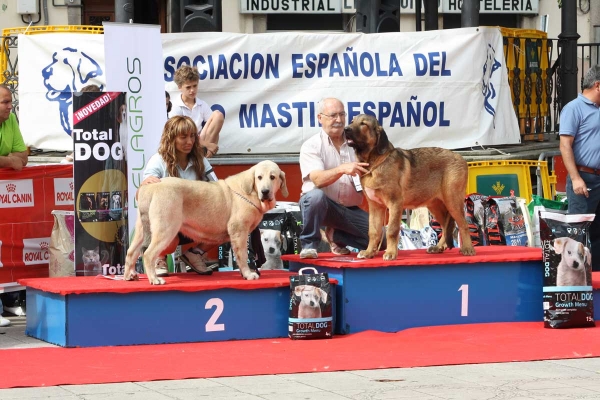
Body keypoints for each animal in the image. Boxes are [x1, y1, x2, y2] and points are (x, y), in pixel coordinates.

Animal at [124, 159, 288, 284]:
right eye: (259, 177)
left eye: (272, 177)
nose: (265, 191)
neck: (251, 191)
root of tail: (150, 187)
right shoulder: (239, 231)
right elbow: (243, 255)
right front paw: (248, 274)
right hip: (166, 229)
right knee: (148, 254)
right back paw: (154, 279)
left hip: (142, 231)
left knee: (131, 252)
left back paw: (129, 276)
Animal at [344, 114, 476, 260]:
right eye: (351, 121)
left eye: (363, 124)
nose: (345, 129)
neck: (373, 164)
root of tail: (460, 157)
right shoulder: (375, 207)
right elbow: (373, 231)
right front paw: (368, 252)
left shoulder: (395, 203)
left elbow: (392, 230)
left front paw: (390, 253)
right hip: (435, 205)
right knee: (446, 226)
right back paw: (438, 247)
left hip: (452, 200)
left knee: (463, 225)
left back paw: (468, 248)